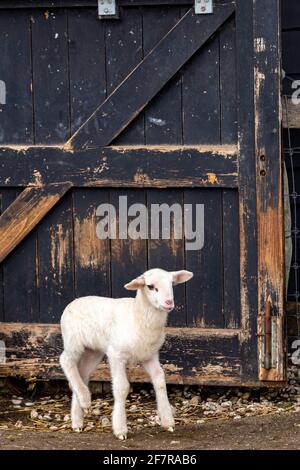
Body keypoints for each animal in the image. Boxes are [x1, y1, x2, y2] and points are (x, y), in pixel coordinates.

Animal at [59, 268, 193, 440]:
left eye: (172, 283)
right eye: (150, 286)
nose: (169, 302)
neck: (137, 316)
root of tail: (74, 301)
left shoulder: (150, 356)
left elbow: (160, 381)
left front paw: (168, 421)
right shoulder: (116, 355)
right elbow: (122, 388)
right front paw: (120, 429)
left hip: (93, 351)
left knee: (81, 373)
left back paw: (79, 417)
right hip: (73, 341)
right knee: (66, 361)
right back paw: (84, 399)